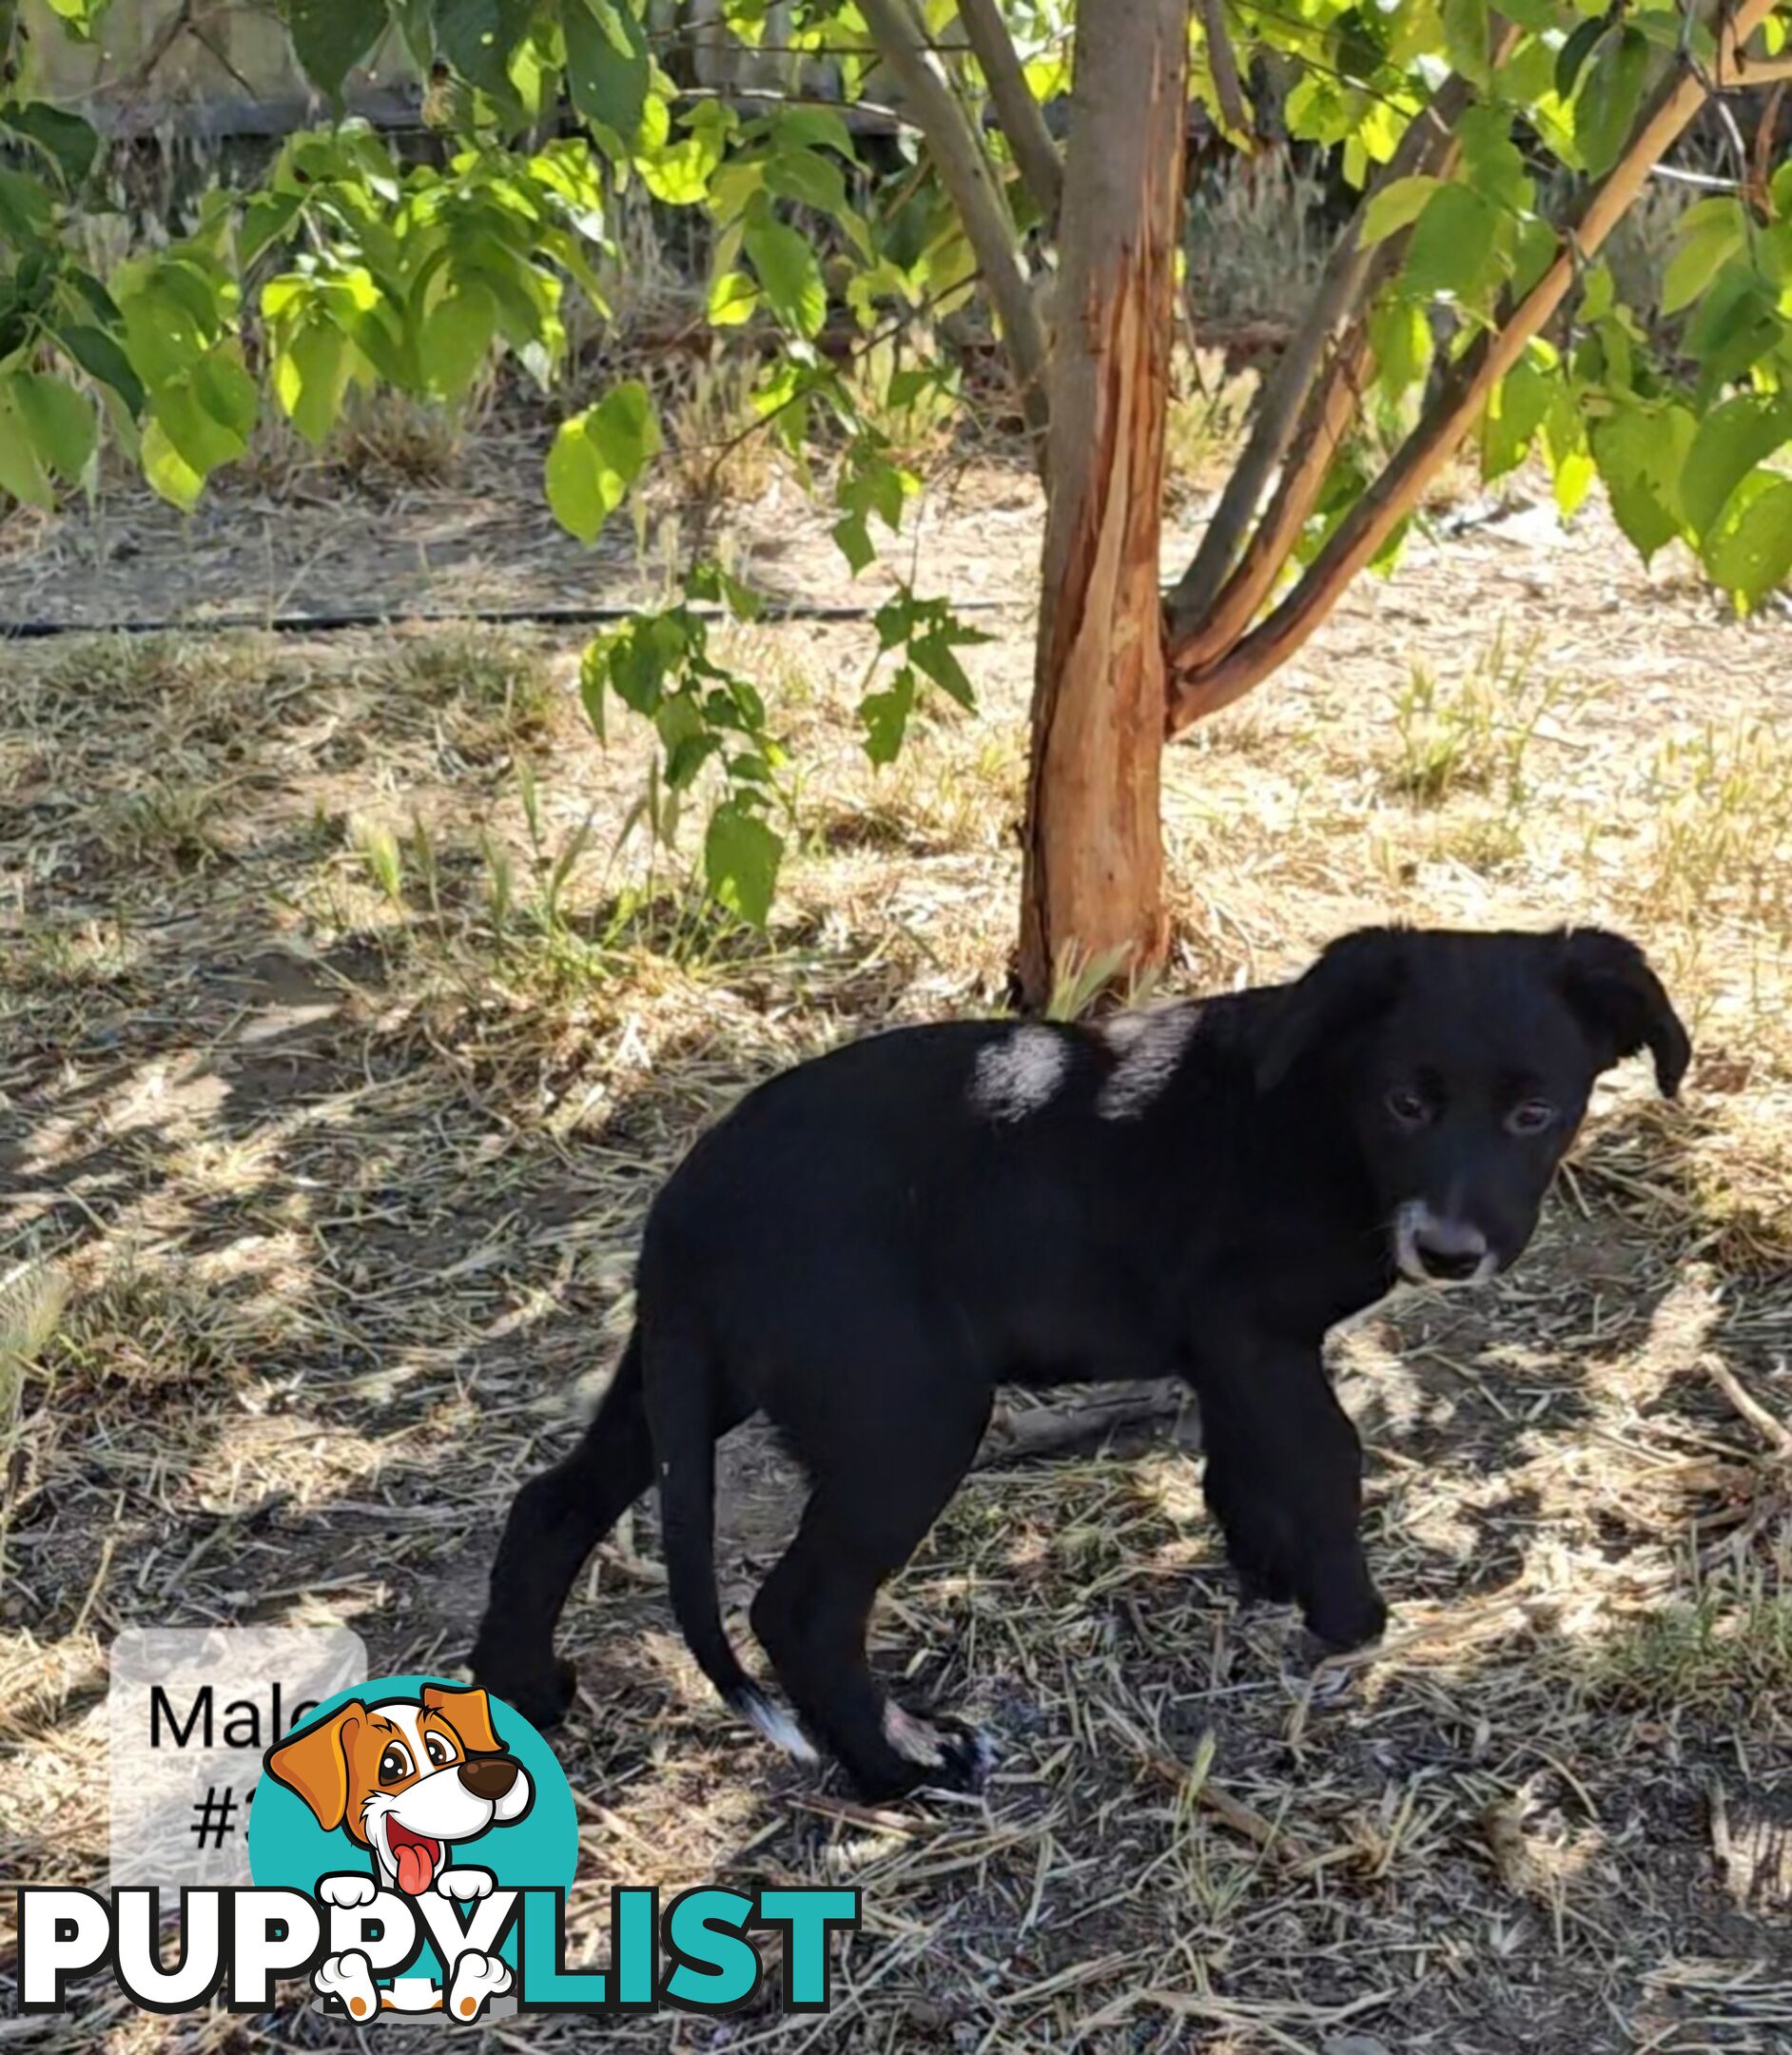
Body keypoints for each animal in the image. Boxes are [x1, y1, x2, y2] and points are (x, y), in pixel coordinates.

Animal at [468, 932, 1685, 1800]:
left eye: (1537, 1111)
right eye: (1408, 1103)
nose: (1450, 1249)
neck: (1318, 1111)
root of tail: (690, 1202)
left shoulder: (1228, 1348)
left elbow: (1245, 1464)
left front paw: (1267, 1567)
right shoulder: (1251, 1329)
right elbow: (1325, 1458)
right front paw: (1350, 1616)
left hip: (682, 1380)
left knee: (551, 1503)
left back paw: (519, 1691)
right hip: (910, 1415)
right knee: (799, 1608)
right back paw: (897, 1768)